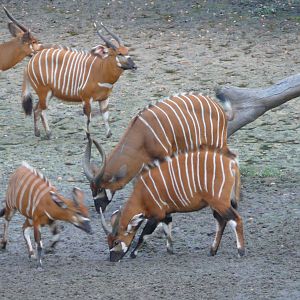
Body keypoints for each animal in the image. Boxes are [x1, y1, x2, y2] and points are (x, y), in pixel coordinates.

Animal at [99, 147, 245, 260]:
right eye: (108, 241)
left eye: (116, 241)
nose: (112, 259)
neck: (142, 194)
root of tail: (232, 164)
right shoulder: (166, 213)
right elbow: (167, 230)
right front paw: (170, 250)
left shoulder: (157, 214)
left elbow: (144, 234)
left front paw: (133, 254)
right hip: (217, 204)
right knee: (222, 221)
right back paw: (212, 251)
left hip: (220, 202)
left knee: (236, 219)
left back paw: (240, 252)